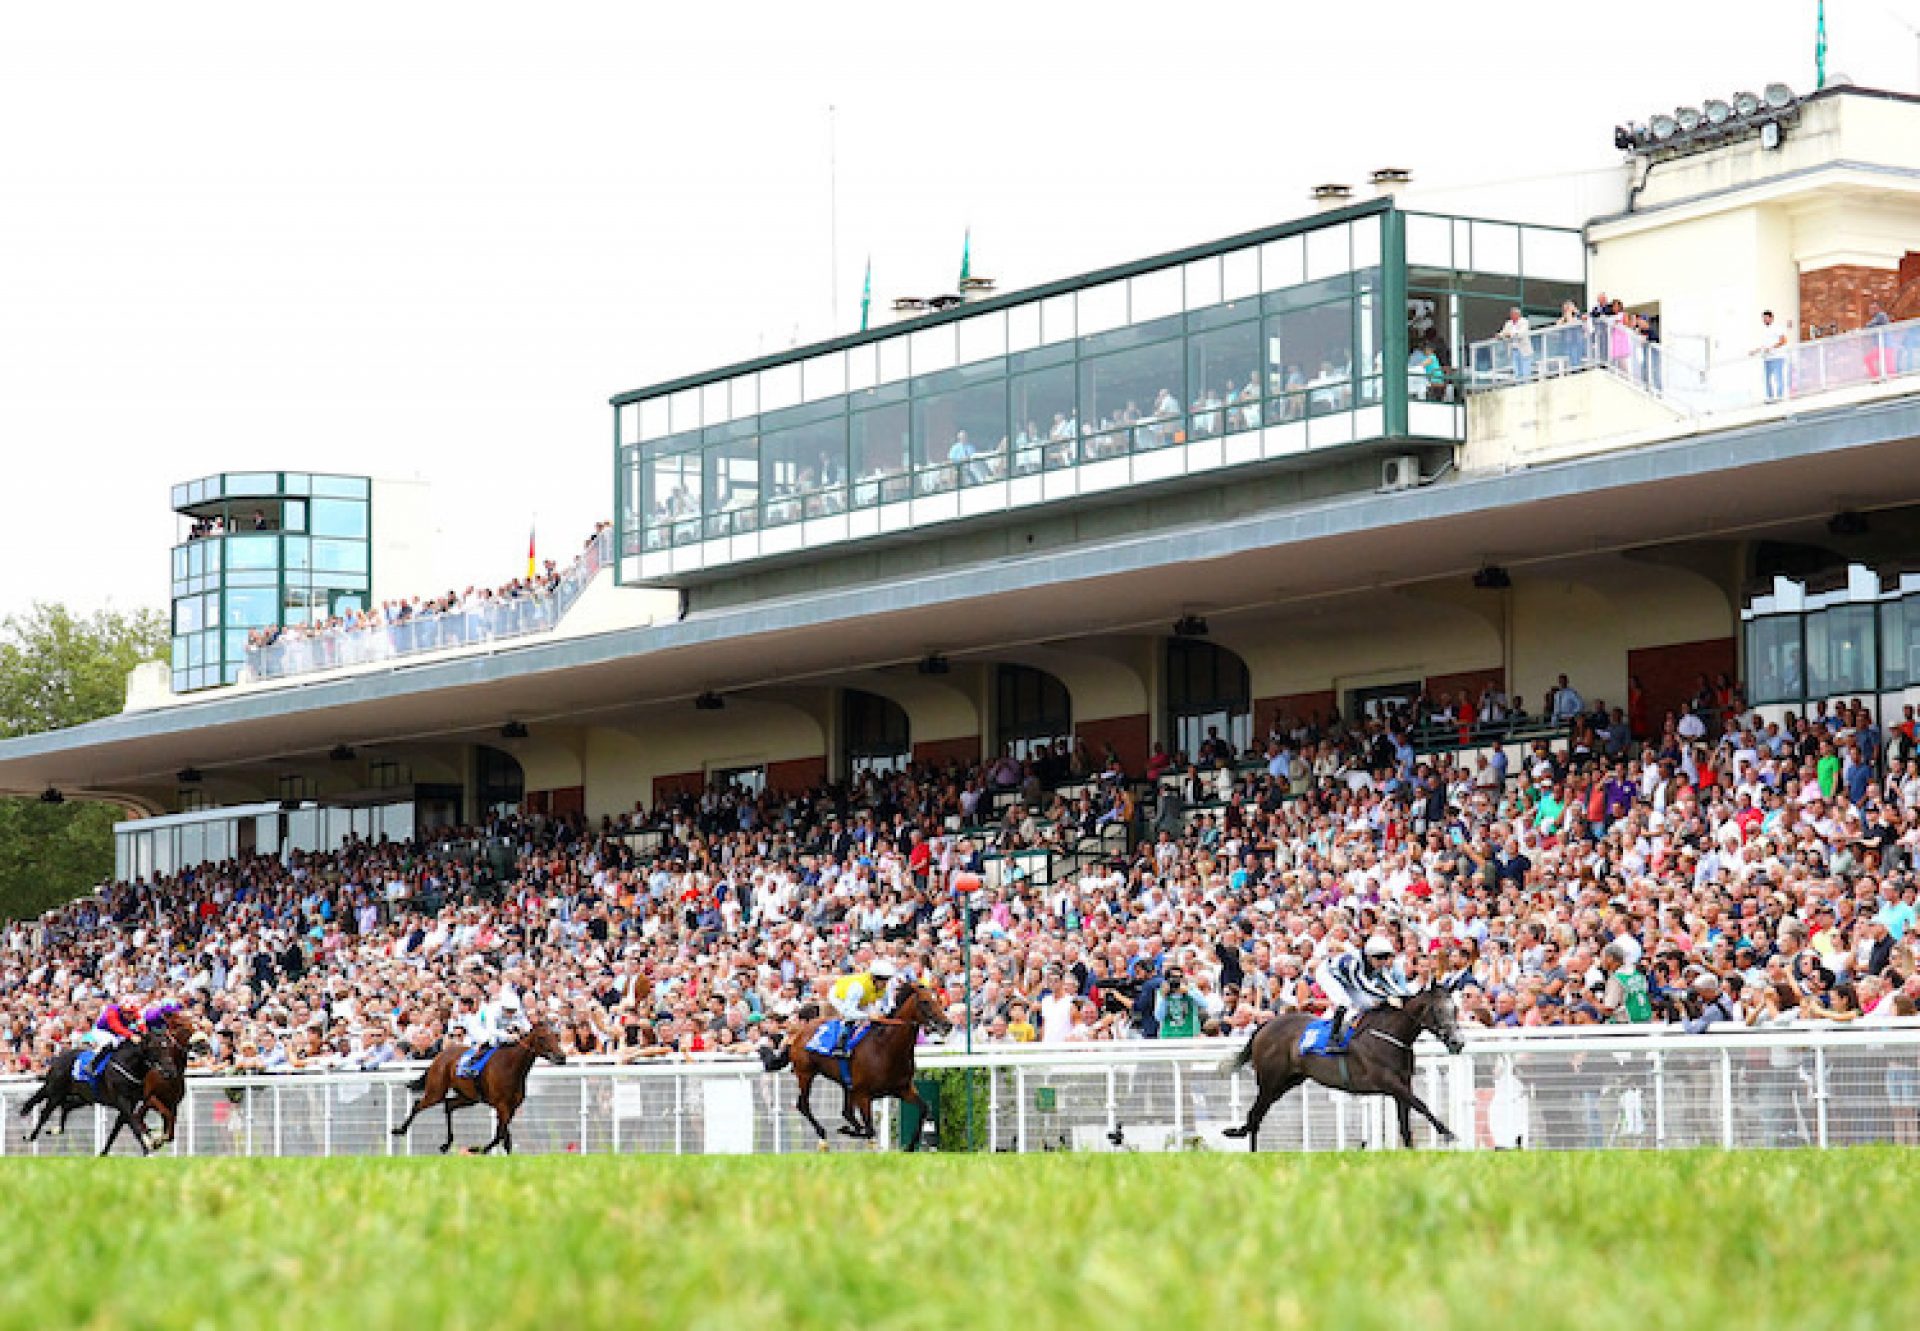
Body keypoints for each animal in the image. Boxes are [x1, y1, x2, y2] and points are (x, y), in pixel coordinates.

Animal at [17, 1029, 178, 1152]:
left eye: (169, 1047)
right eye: (156, 1047)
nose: (171, 1071)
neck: (128, 1064)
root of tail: (56, 1059)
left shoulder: (130, 1104)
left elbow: (117, 1129)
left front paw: (103, 1153)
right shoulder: (122, 1101)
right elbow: (134, 1125)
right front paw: (148, 1147)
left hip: (81, 1097)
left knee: (66, 1106)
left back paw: (55, 1129)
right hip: (56, 1092)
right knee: (44, 1112)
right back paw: (30, 1135)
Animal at [389, 1014, 564, 1152]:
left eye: (557, 1036)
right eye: (542, 1037)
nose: (562, 1057)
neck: (511, 1066)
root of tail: (439, 1056)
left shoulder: (511, 1108)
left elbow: (504, 1137)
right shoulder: (502, 1106)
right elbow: (500, 1135)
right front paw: (477, 1149)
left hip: (469, 1097)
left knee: (448, 1105)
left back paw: (447, 1143)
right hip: (436, 1091)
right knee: (418, 1104)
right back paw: (399, 1130)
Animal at [756, 979, 952, 1144]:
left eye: (938, 1000)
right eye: (925, 1002)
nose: (947, 1024)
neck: (886, 1048)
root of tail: (797, 1033)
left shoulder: (903, 1089)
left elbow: (924, 1109)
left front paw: (911, 1145)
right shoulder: (863, 1094)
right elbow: (870, 1129)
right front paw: (848, 1130)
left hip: (845, 1083)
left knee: (845, 1112)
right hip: (805, 1073)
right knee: (803, 1105)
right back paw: (823, 1131)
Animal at [1221, 979, 1459, 1144]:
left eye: (1455, 1010)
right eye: (1438, 1010)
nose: (1458, 1042)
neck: (1388, 1034)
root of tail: (1265, 1025)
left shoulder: (1402, 1084)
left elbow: (1406, 1125)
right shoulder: (1389, 1082)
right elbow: (1422, 1105)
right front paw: (1449, 1133)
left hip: (1287, 1082)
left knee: (1256, 1117)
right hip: (1270, 1081)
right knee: (1255, 1116)